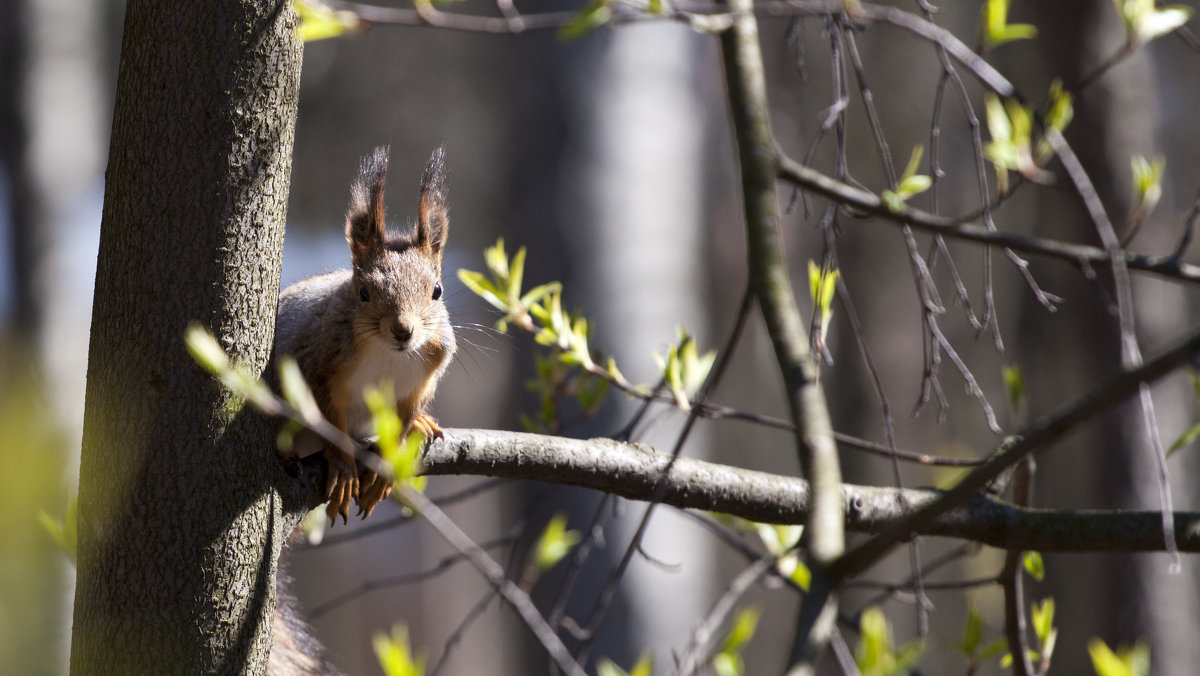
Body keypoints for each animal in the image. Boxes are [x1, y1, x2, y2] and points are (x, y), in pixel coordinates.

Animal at [274, 147, 456, 523]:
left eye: (437, 291)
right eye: (363, 292)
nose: (403, 330)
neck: (389, 354)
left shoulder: (421, 383)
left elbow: (402, 422)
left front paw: (386, 469)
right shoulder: (317, 367)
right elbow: (330, 422)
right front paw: (344, 470)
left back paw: (422, 424)